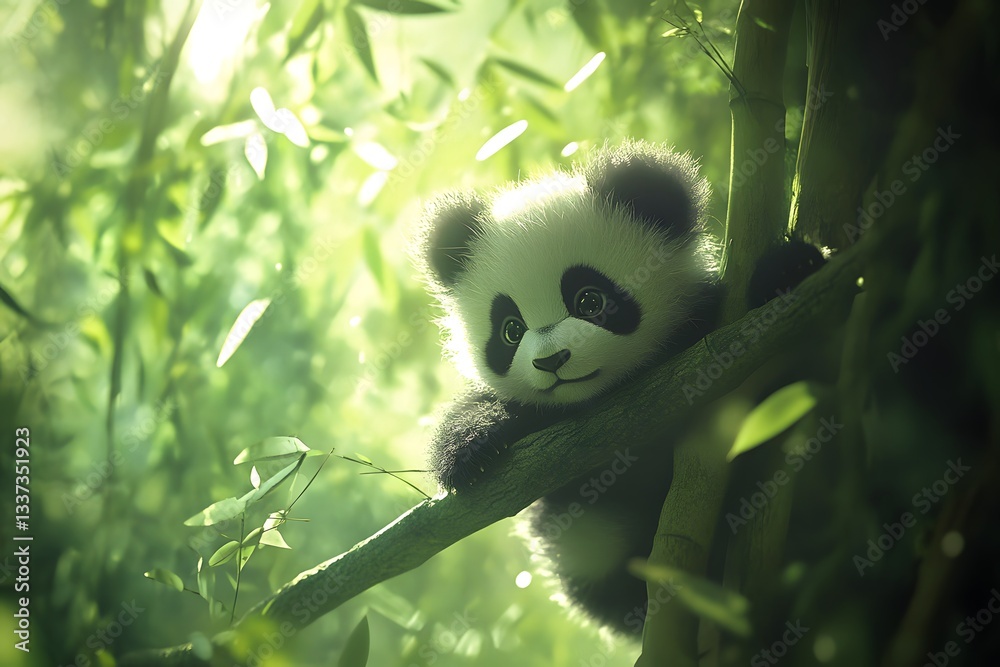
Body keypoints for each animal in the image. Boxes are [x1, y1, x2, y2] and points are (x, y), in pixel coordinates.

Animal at [416, 140, 821, 634]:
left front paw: (791, 269)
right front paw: (471, 446)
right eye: (510, 330)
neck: (602, 395)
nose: (551, 362)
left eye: (590, 300)